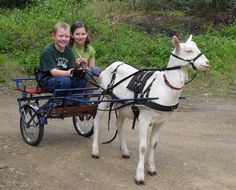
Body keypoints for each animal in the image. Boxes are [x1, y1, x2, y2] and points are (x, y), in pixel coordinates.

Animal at [91, 35, 210, 184]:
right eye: (188, 50)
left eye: (196, 47)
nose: (208, 63)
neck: (162, 87)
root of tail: (110, 67)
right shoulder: (144, 119)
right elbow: (143, 147)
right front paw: (139, 176)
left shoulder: (161, 121)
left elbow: (154, 144)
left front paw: (152, 168)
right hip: (104, 97)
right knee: (97, 121)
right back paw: (95, 151)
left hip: (122, 106)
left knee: (119, 124)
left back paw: (124, 151)